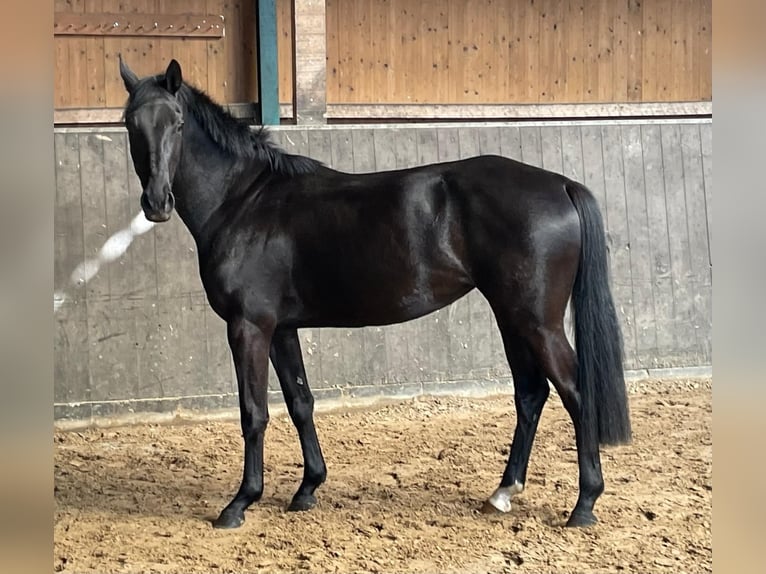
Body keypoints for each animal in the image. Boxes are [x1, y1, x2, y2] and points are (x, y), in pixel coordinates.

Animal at [120, 58, 632, 532]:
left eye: (177, 123)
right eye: (131, 124)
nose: (157, 203)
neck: (245, 201)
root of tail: (560, 184)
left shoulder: (249, 327)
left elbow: (253, 413)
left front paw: (240, 503)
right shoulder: (281, 329)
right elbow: (300, 403)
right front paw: (307, 489)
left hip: (537, 321)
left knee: (575, 392)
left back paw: (584, 504)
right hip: (511, 317)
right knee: (530, 393)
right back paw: (503, 493)